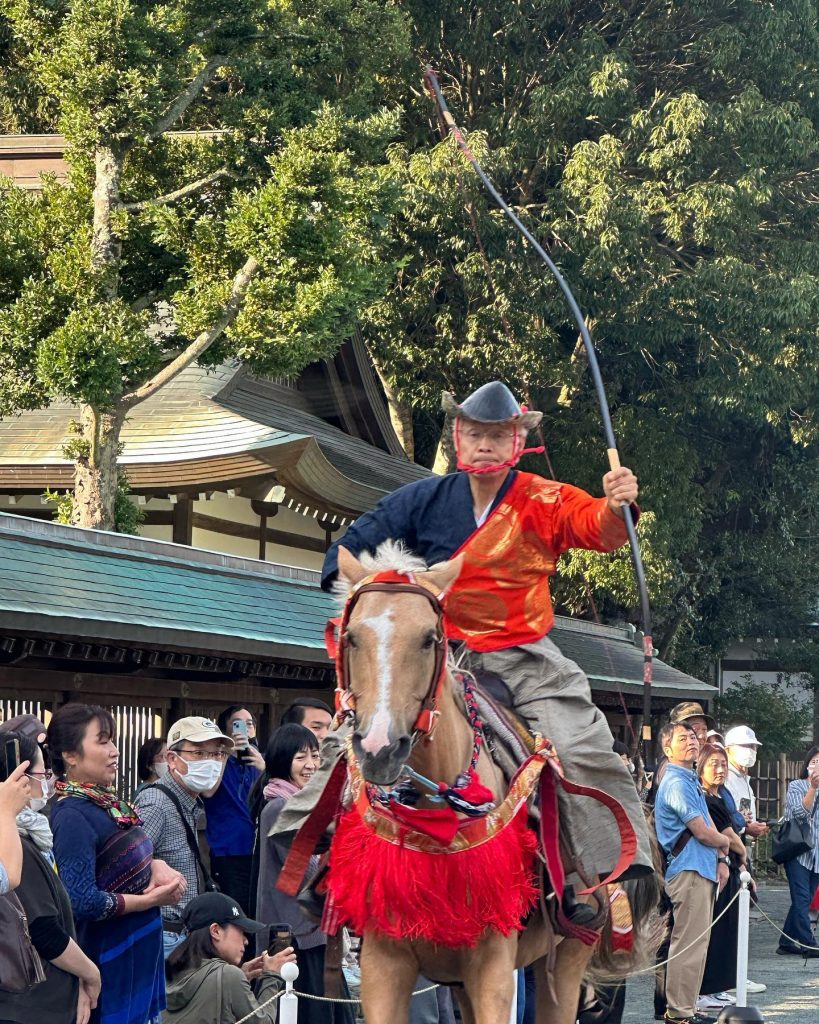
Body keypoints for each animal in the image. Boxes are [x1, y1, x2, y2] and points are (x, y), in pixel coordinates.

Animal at [323, 540, 655, 1019]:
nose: (380, 747)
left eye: (429, 639)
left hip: (570, 949)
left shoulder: (493, 962)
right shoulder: (384, 961)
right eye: (351, 637)